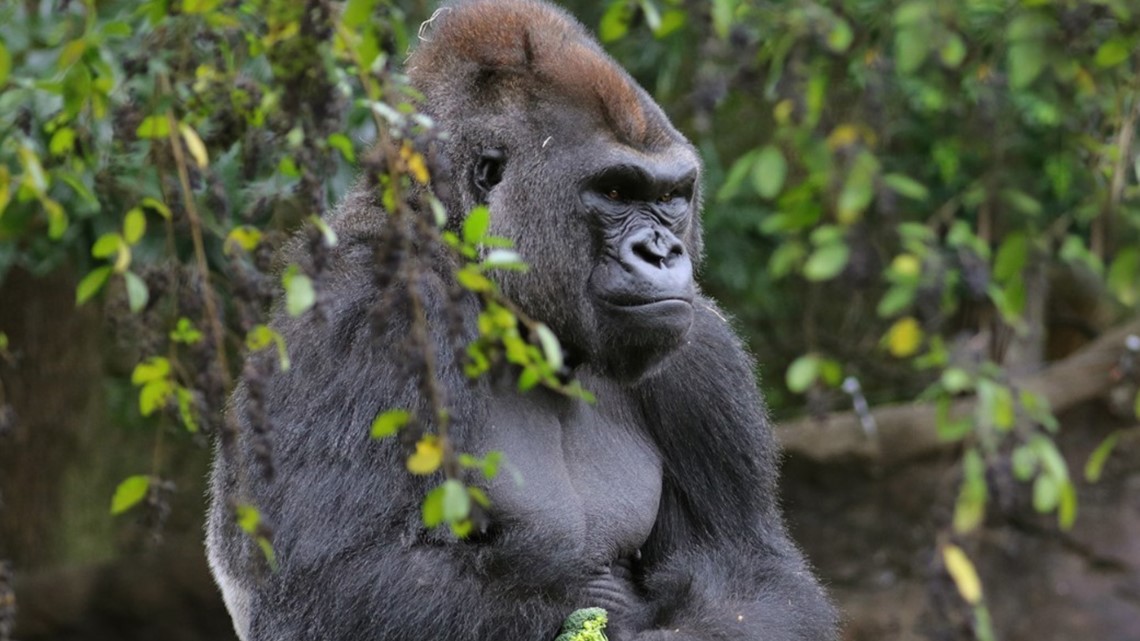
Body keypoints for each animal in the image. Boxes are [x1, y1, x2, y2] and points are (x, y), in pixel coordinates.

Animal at [209, 1, 843, 638]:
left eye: (671, 197)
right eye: (615, 192)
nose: (662, 252)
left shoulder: (703, 352)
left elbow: (758, 578)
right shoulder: (364, 316)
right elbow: (337, 582)